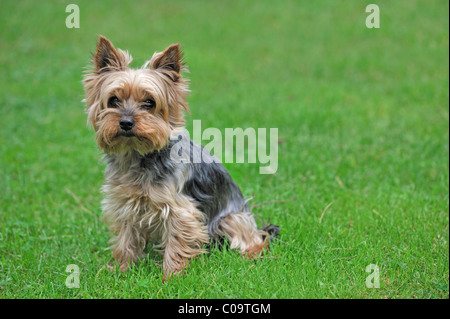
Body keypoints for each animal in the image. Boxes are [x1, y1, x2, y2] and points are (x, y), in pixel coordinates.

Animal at [81, 35, 278, 280]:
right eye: (114, 100)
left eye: (149, 102)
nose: (126, 122)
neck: (139, 155)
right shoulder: (124, 203)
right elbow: (126, 238)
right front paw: (122, 269)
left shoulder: (180, 210)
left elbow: (176, 241)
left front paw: (171, 276)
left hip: (230, 218)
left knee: (255, 237)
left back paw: (252, 253)